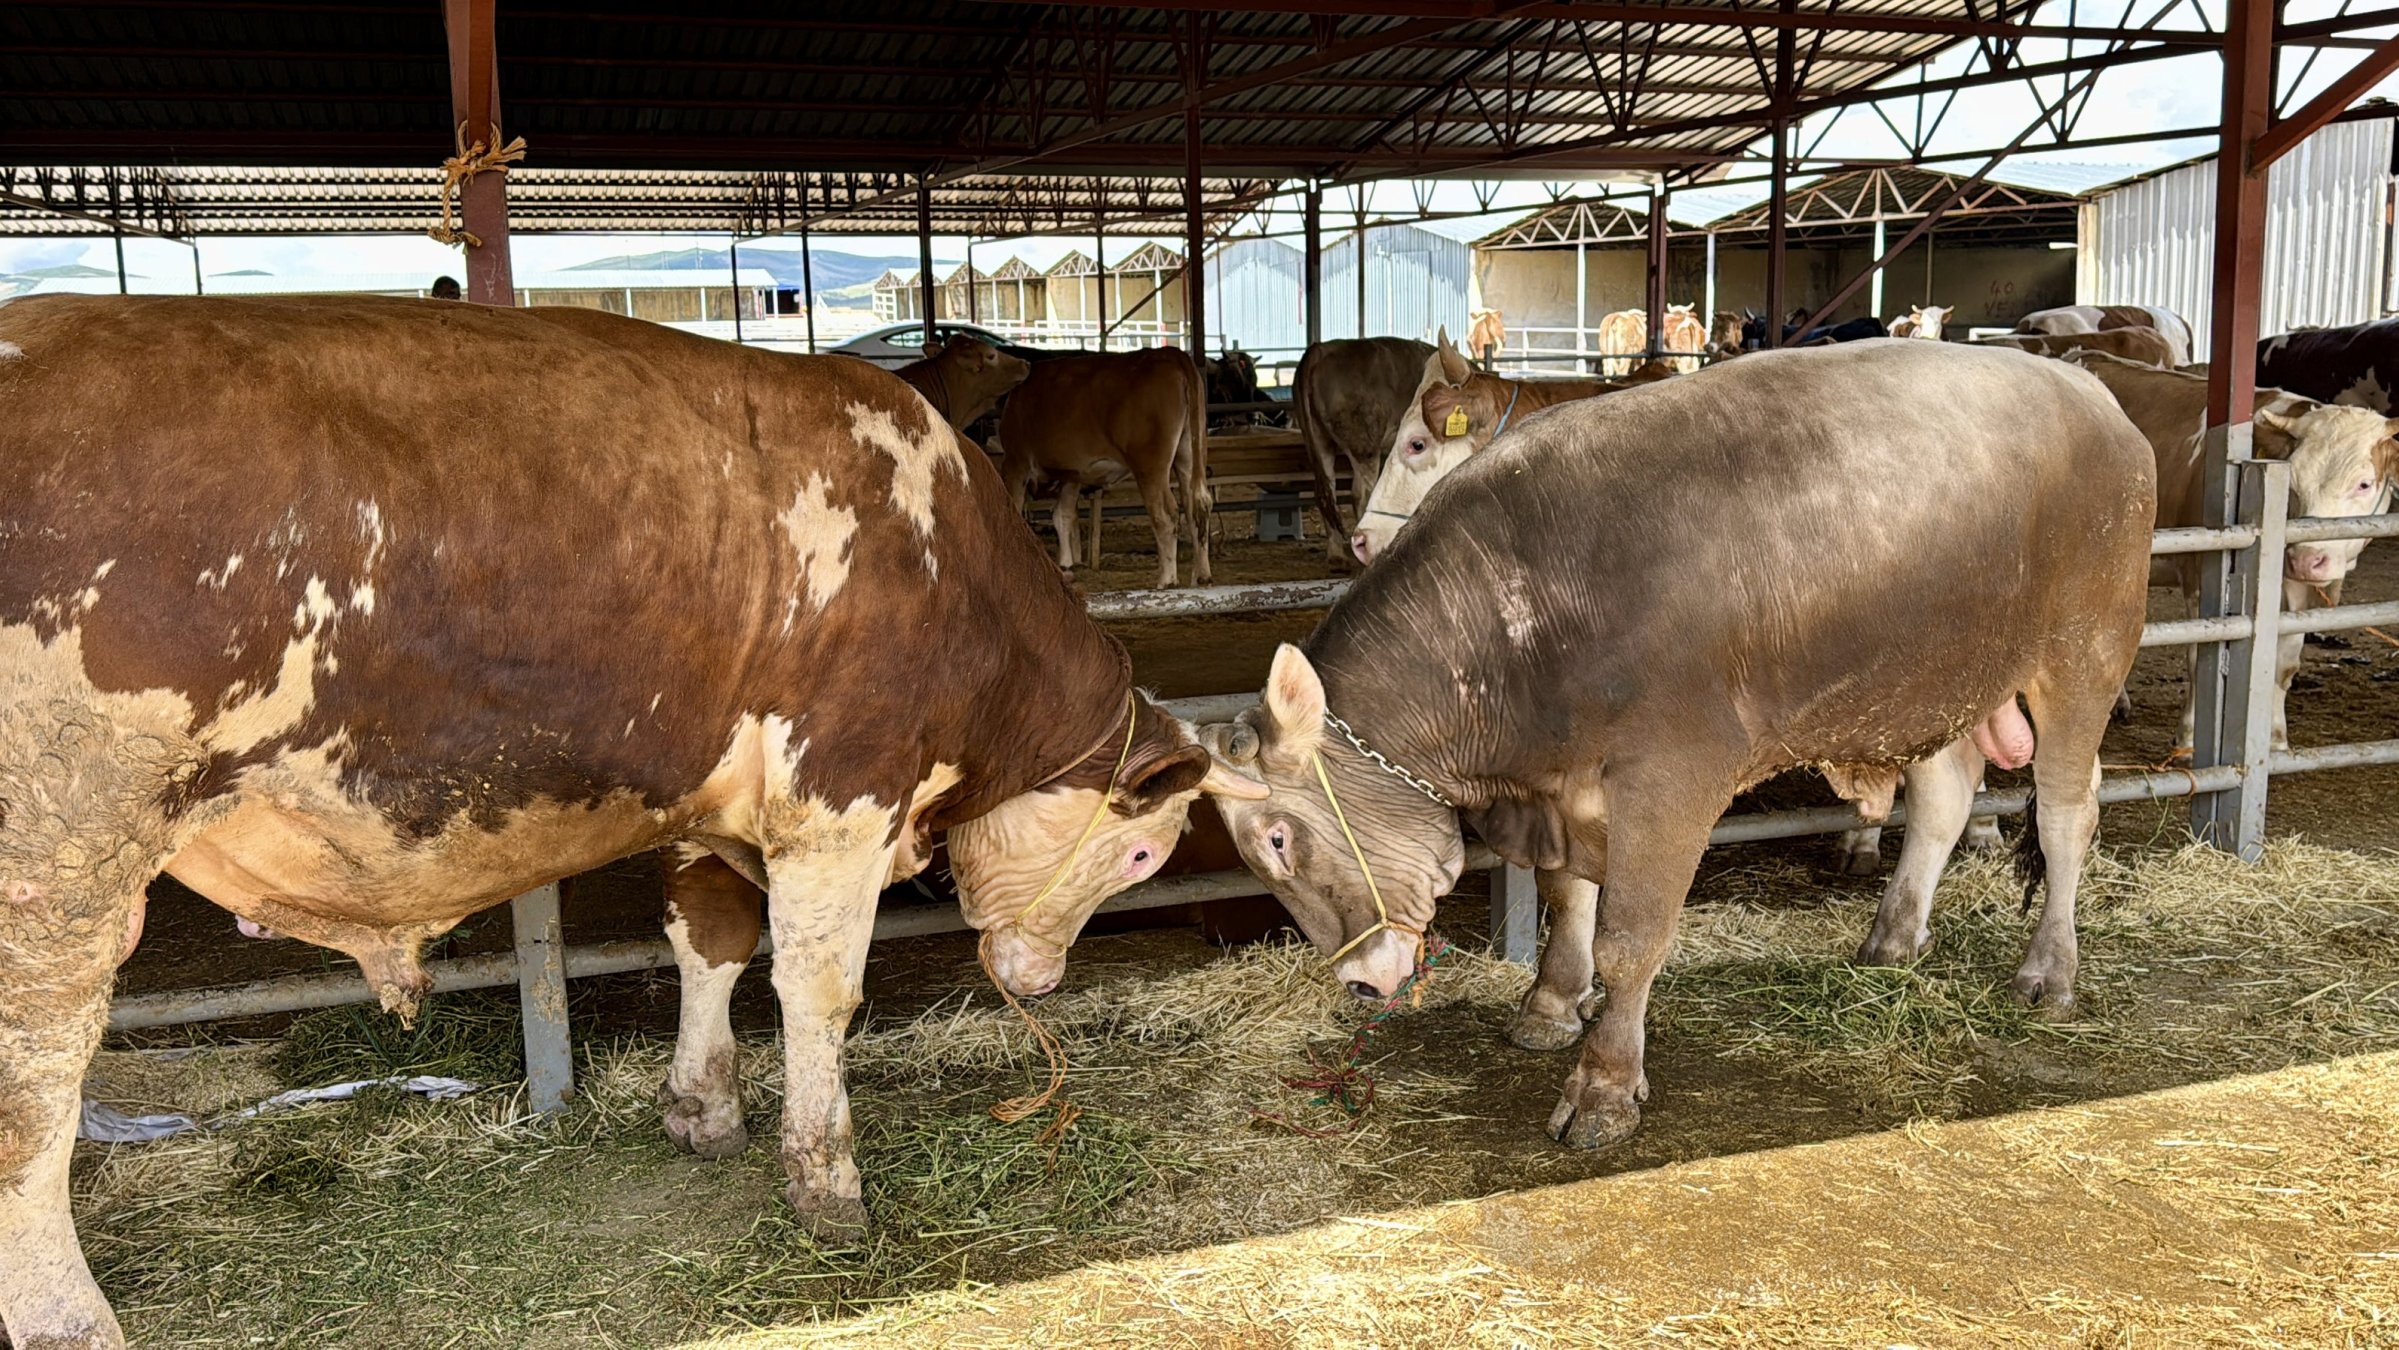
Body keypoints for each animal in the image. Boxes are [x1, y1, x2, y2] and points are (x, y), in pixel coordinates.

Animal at [994, 348, 1210, 588]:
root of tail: (1171, 354)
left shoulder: (1016, 462)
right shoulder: (1072, 474)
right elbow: (1063, 514)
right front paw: (1065, 564)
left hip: (1149, 465)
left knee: (1166, 514)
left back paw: (1167, 581)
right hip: (1188, 454)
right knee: (1196, 508)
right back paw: (1201, 577)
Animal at [1291, 337, 1435, 566]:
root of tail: (1320, 348)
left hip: (1318, 439)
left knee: (1326, 491)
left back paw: (1336, 556)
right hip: (1364, 444)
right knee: (1362, 493)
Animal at [2068, 350, 2399, 750]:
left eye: (2363, 484)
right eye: (2294, 480)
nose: (2306, 559)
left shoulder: (2306, 593)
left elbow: (2284, 664)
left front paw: (2276, 741)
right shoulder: (2200, 571)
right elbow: (2200, 652)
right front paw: (2189, 736)